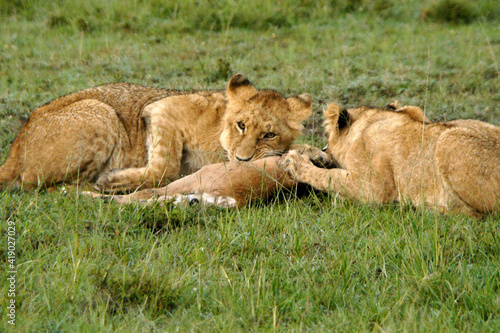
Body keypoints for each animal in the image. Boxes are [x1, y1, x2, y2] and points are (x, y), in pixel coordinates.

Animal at [0, 73, 316, 191]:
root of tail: (14, 149)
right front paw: (112, 180)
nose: (243, 161)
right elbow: (165, 168)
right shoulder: (161, 109)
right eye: (241, 125)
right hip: (102, 112)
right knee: (39, 183)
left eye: (269, 135)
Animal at [280, 102, 500, 217]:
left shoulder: (374, 189)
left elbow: (330, 177)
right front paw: (313, 153)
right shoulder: (415, 111)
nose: (325, 148)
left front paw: (295, 162)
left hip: (448, 139)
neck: (369, 122)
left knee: (478, 214)